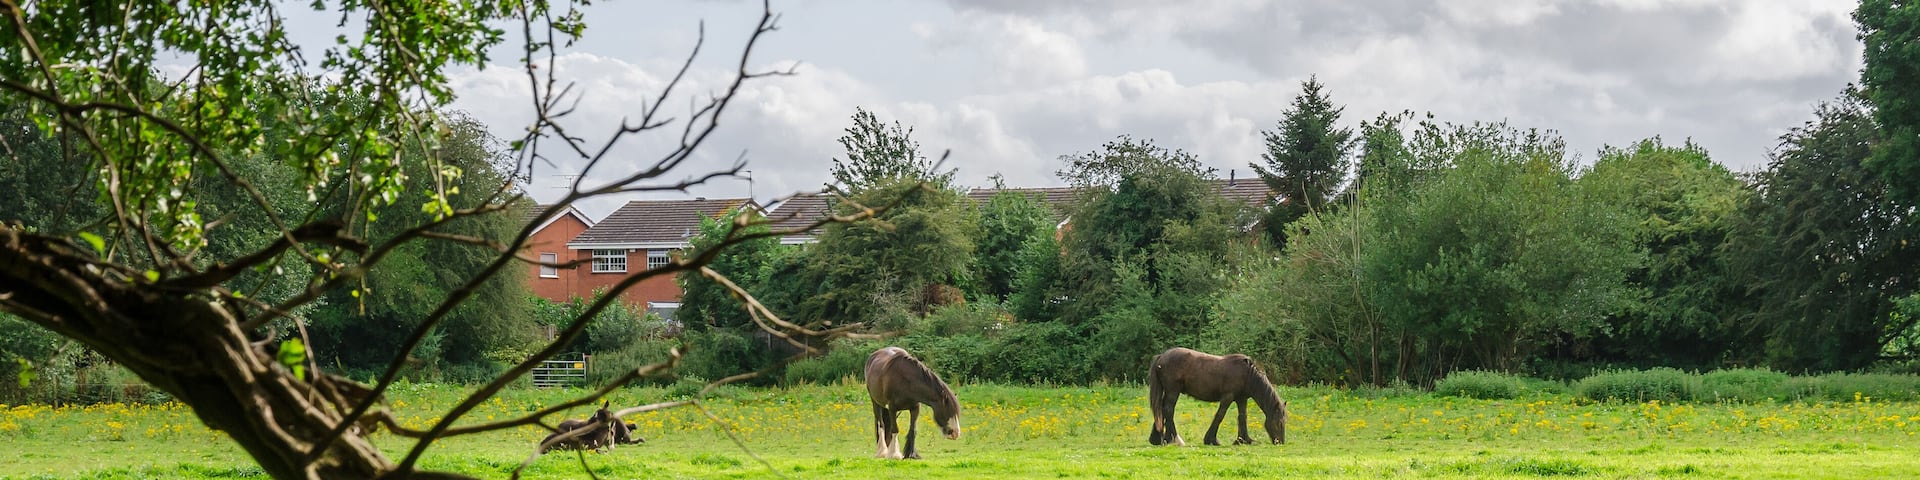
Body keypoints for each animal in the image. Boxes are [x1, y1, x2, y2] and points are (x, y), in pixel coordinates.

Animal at [1146, 347, 1288, 446]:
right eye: (1279, 422)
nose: (1280, 442)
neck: (1247, 375)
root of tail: (1161, 357)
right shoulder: (1227, 397)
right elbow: (1220, 415)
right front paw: (1212, 440)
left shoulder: (1241, 399)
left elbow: (1242, 417)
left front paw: (1244, 440)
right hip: (1173, 391)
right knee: (1168, 410)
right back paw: (1175, 439)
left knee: (1161, 410)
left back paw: (1159, 439)